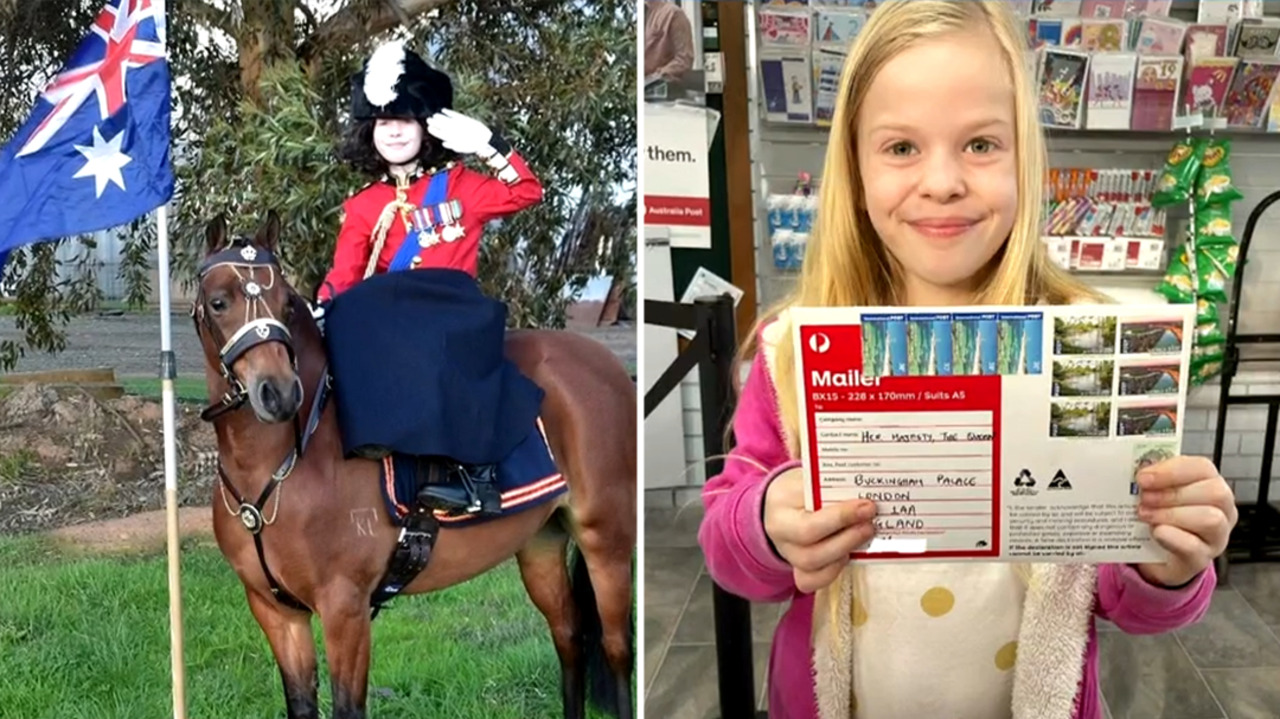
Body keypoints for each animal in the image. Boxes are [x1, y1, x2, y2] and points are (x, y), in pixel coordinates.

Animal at [190, 212, 640, 716]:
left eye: (287, 304)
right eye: (219, 302)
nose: (279, 392)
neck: (279, 467)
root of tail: (609, 366)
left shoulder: (345, 608)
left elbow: (348, 707)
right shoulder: (276, 612)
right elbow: (301, 703)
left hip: (607, 541)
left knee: (616, 649)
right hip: (540, 543)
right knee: (569, 638)